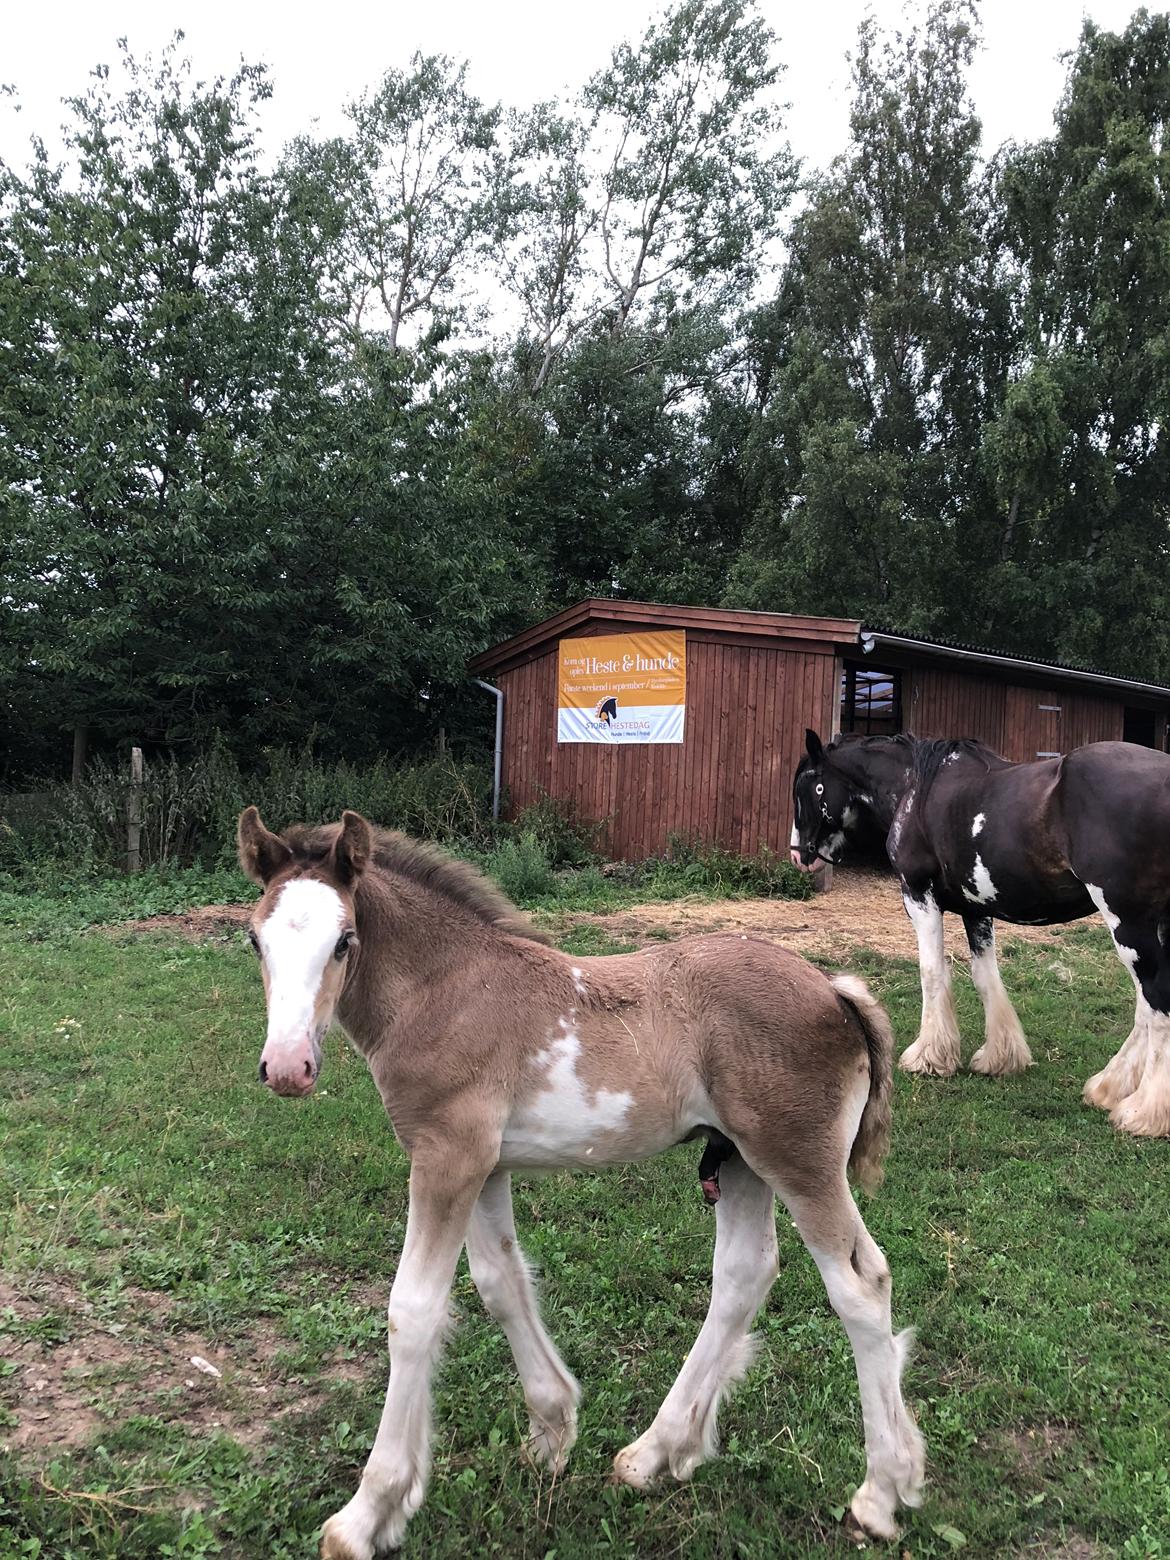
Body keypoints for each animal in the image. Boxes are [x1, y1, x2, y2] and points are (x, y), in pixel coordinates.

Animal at [235, 811, 923, 1553]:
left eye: (344, 941)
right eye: (254, 939)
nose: (287, 1067)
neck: (442, 991)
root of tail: (835, 989)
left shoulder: (447, 1159)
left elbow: (413, 1312)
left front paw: (370, 1512)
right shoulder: (483, 1167)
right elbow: (501, 1283)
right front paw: (553, 1428)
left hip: (801, 1163)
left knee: (861, 1287)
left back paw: (881, 1493)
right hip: (740, 1158)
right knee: (746, 1272)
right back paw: (658, 1452)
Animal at [792, 736, 1170, 1141]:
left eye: (808, 788)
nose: (799, 855)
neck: (915, 787)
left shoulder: (919, 897)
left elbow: (931, 972)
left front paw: (928, 1057)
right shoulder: (976, 908)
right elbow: (986, 978)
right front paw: (1000, 1057)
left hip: (1126, 920)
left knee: (1154, 999)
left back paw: (1144, 1111)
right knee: (1145, 1005)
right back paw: (1109, 1087)